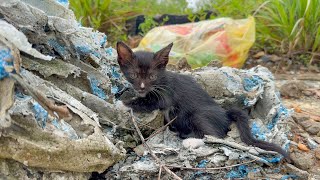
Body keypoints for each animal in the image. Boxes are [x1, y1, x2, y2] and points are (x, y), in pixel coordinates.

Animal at [116, 41, 292, 162]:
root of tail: (225, 113)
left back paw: (191, 141)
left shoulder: (165, 94)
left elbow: (147, 102)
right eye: (133, 75)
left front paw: (122, 104)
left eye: (152, 76)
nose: (141, 87)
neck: (162, 78)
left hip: (199, 115)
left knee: (215, 135)